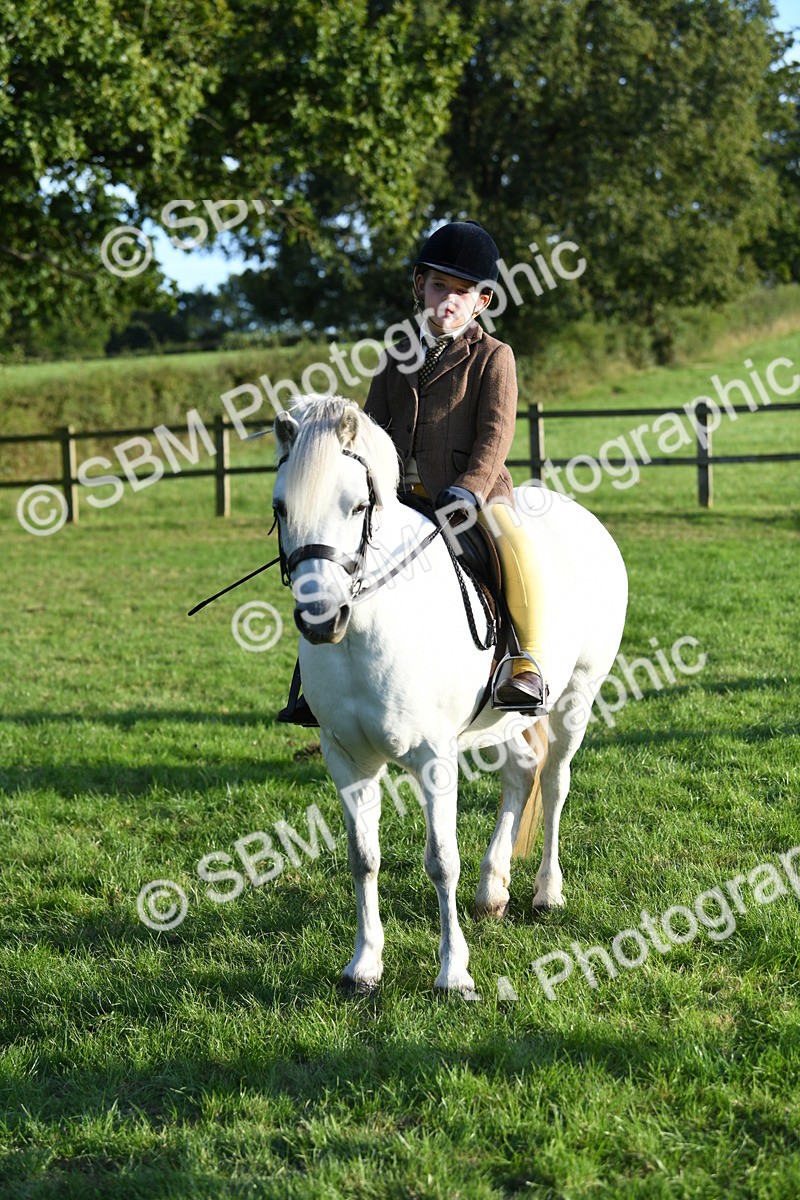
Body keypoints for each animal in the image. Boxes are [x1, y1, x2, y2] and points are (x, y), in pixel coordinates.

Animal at [271, 395, 628, 995]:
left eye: (357, 506)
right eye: (280, 508)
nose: (321, 619)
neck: (368, 627)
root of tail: (581, 515)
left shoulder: (434, 756)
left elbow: (441, 860)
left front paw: (454, 974)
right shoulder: (346, 758)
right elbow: (363, 857)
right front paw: (364, 965)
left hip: (577, 694)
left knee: (555, 780)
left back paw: (546, 892)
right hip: (499, 719)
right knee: (521, 773)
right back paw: (492, 891)